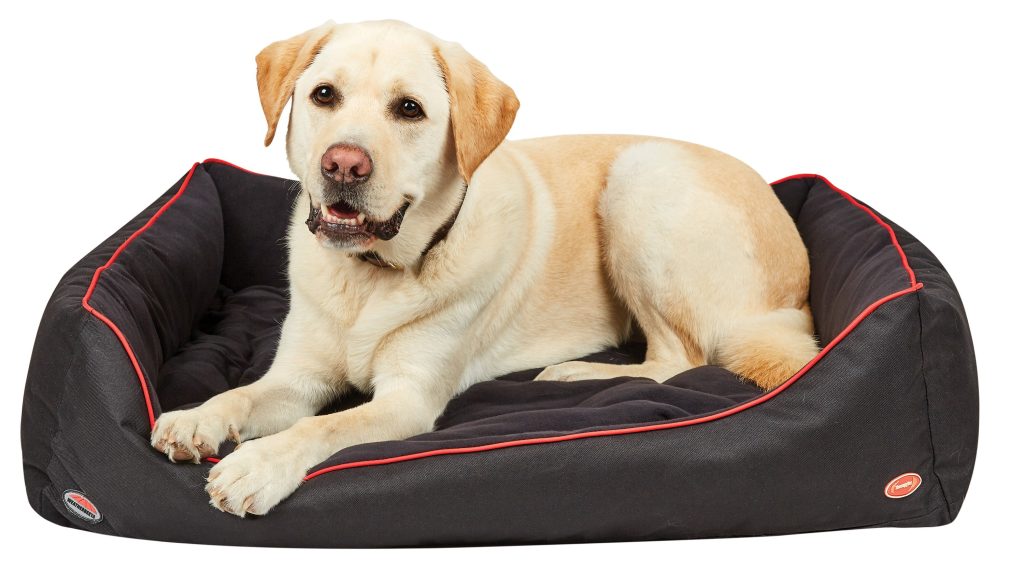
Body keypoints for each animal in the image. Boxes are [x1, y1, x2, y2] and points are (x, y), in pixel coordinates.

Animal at [149, 20, 815, 516]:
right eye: (323, 96)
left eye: (409, 109)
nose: (342, 164)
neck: (372, 274)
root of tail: (797, 289)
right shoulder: (297, 377)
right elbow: (241, 395)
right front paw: (198, 418)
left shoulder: (407, 400)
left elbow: (320, 431)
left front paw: (257, 466)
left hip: (640, 179)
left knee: (680, 359)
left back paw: (576, 374)